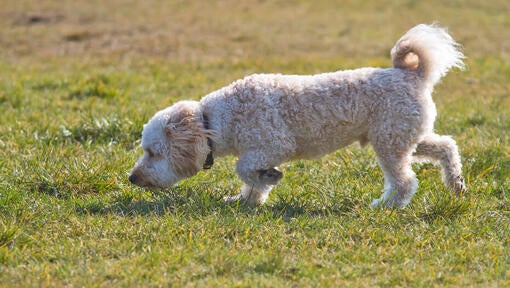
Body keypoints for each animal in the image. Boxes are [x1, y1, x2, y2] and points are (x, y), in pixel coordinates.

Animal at [128, 24, 466, 207]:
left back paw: (385, 206)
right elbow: (252, 182)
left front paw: (267, 179)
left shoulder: (273, 145)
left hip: (390, 144)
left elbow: (244, 168)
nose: (132, 178)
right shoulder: (261, 151)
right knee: (446, 146)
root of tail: (413, 74)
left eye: (153, 152)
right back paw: (456, 183)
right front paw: (247, 200)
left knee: (405, 181)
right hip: (404, 136)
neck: (214, 120)